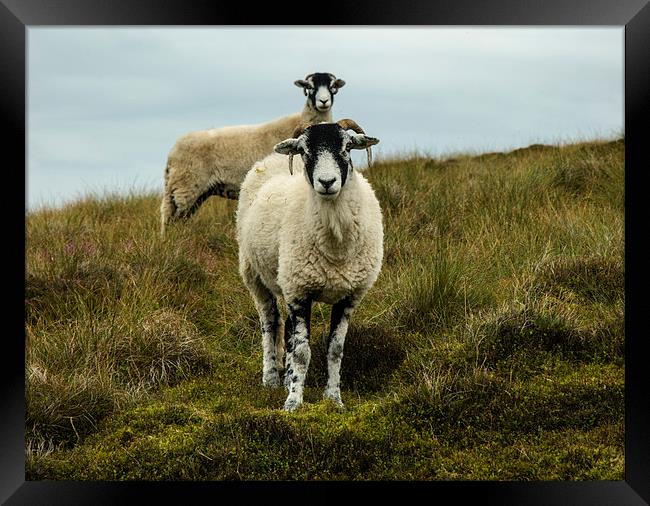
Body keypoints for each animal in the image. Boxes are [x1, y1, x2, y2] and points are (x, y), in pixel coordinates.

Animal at [159, 73, 344, 235]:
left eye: (332, 86)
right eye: (310, 87)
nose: (324, 101)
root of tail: (172, 152)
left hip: (189, 190)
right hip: (186, 186)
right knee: (172, 217)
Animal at [237, 119, 380, 412]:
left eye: (347, 146)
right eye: (304, 151)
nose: (326, 182)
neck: (336, 248)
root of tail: (270, 159)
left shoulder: (348, 297)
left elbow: (335, 350)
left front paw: (334, 399)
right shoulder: (300, 293)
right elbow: (303, 352)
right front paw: (293, 402)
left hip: (285, 280)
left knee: (289, 332)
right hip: (255, 276)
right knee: (269, 323)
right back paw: (271, 377)